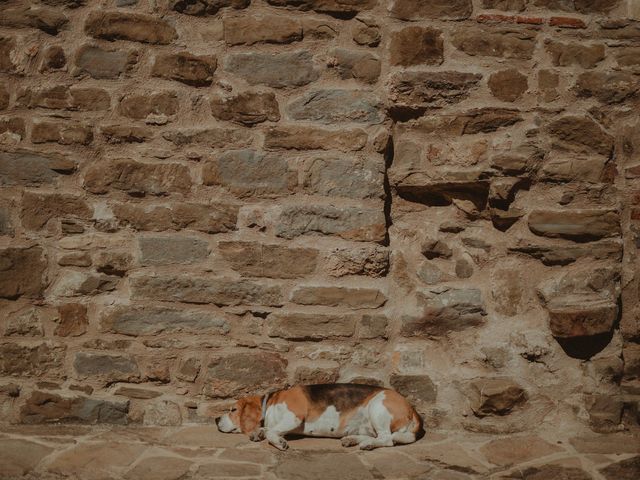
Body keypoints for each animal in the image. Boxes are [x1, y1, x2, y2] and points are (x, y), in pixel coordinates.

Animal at [216, 382, 424, 450]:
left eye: (233, 410)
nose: (216, 419)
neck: (270, 404)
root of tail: (411, 408)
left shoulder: (294, 416)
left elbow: (271, 432)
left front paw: (278, 442)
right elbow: (267, 428)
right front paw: (258, 432)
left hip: (377, 406)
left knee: (387, 439)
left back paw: (366, 444)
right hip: (368, 424)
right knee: (381, 436)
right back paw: (352, 439)